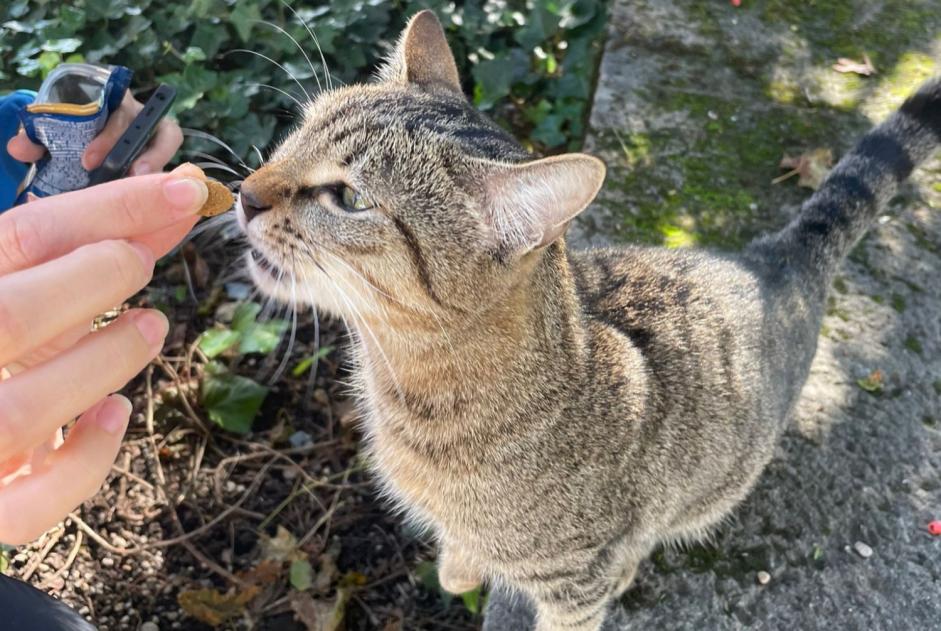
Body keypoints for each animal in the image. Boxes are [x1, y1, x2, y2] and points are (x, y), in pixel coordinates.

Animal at [237, 11, 940, 631]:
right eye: (297, 133)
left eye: (349, 198)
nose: (245, 193)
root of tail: (776, 256)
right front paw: (459, 570)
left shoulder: (577, 581)